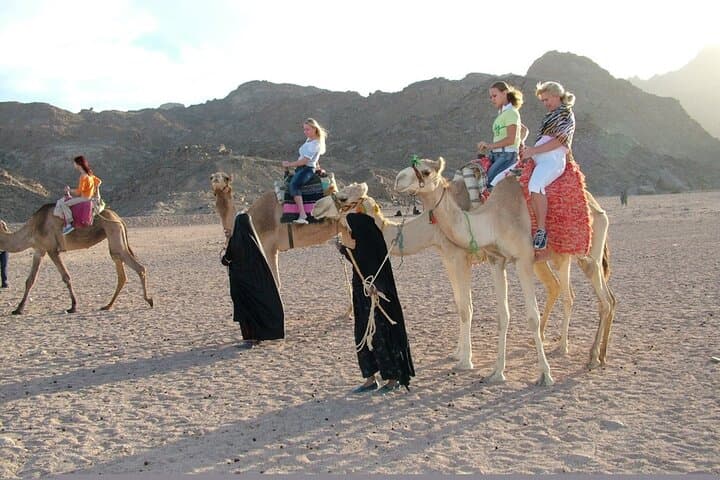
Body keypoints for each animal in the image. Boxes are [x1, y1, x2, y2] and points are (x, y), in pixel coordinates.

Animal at [0, 205, 153, 314]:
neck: (32, 228)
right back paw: (107, 305)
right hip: (114, 237)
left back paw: (149, 300)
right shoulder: (39, 250)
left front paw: (73, 307)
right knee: (121, 271)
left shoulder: (52, 249)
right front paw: (18, 309)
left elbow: (66, 277)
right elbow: (30, 280)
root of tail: (119, 219)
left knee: (138, 267)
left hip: (113, 232)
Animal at [210, 172, 339, 287]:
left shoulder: (269, 247)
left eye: (226, 178)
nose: (215, 179)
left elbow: (276, 283)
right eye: (211, 177)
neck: (252, 218)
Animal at [312, 181, 565, 371]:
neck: (430, 228)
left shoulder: (459, 257)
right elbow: (459, 303)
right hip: (540, 258)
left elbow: (466, 307)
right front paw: (457, 352)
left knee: (566, 291)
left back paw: (563, 348)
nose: (316, 208)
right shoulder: (447, 258)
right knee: (556, 287)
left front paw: (466, 360)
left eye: (343, 197)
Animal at [395, 158, 616, 378]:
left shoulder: (515, 259)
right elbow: (500, 314)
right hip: (556, 258)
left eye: (426, 171)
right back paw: (597, 353)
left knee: (595, 299)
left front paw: (545, 373)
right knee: (582, 294)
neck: (493, 219)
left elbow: (525, 316)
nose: (398, 179)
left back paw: (584, 354)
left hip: (586, 255)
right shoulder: (493, 260)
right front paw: (497, 371)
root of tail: (596, 206)